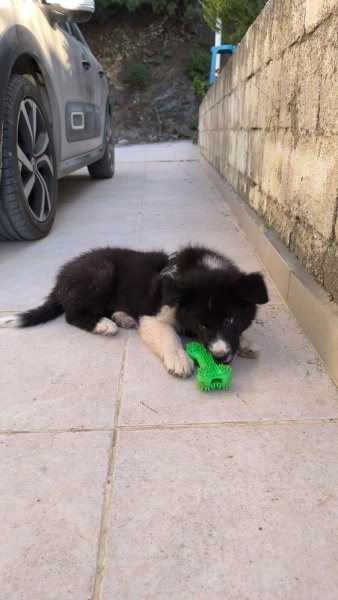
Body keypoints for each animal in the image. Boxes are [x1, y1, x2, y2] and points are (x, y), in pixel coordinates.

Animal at [0, 243, 270, 376]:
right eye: (202, 325)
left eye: (229, 321)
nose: (220, 357)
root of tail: (60, 282)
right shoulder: (152, 313)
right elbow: (167, 334)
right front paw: (178, 359)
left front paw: (247, 342)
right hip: (102, 272)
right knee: (73, 313)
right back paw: (103, 324)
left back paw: (122, 317)